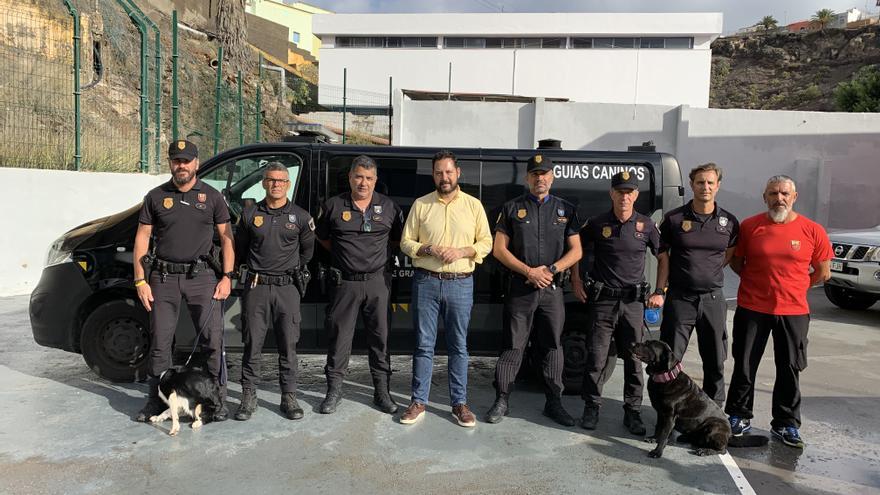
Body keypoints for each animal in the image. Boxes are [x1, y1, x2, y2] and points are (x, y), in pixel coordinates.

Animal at [628, 340, 768, 458]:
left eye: (648, 345)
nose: (632, 343)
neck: (665, 378)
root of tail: (729, 435)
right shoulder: (661, 414)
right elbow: (659, 428)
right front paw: (653, 438)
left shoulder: (669, 417)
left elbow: (664, 435)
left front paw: (657, 452)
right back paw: (686, 438)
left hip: (713, 427)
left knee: (722, 450)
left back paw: (705, 451)